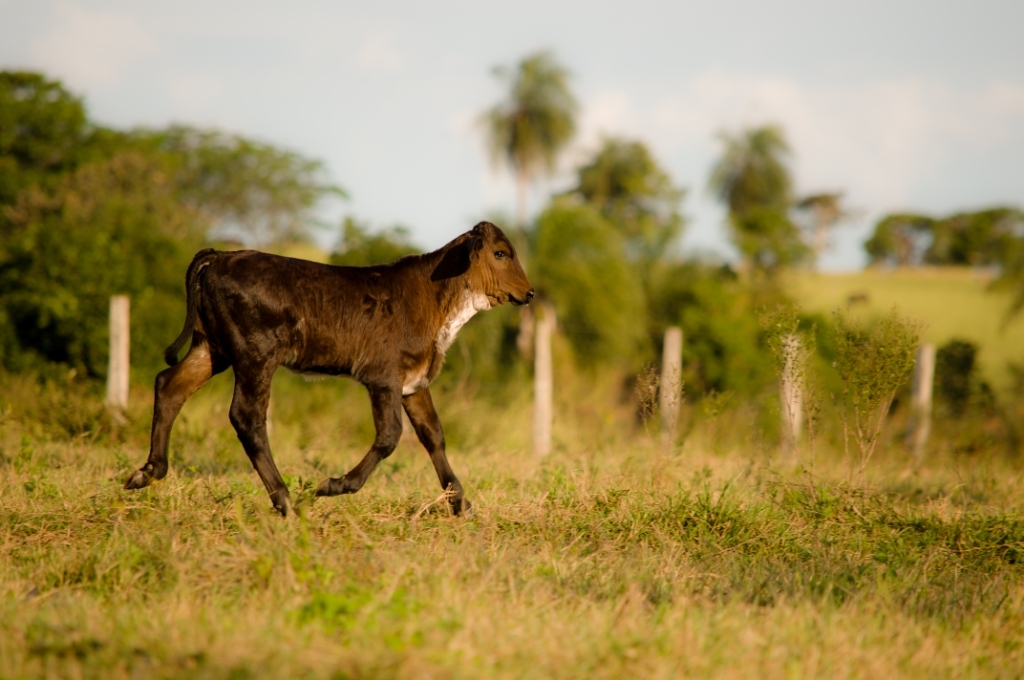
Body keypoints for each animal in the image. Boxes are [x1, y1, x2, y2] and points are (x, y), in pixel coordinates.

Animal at [123, 222, 532, 516]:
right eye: (501, 253)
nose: (529, 293)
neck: (436, 301)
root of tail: (220, 255)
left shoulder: (413, 381)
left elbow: (434, 435)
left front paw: (461, 503)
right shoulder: (382, 376)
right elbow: (390, 436)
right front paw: (333, 486)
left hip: (213, 347)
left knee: (170, 384)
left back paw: (147, 471)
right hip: (256, 353)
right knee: (246, 417)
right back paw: (286, 501)